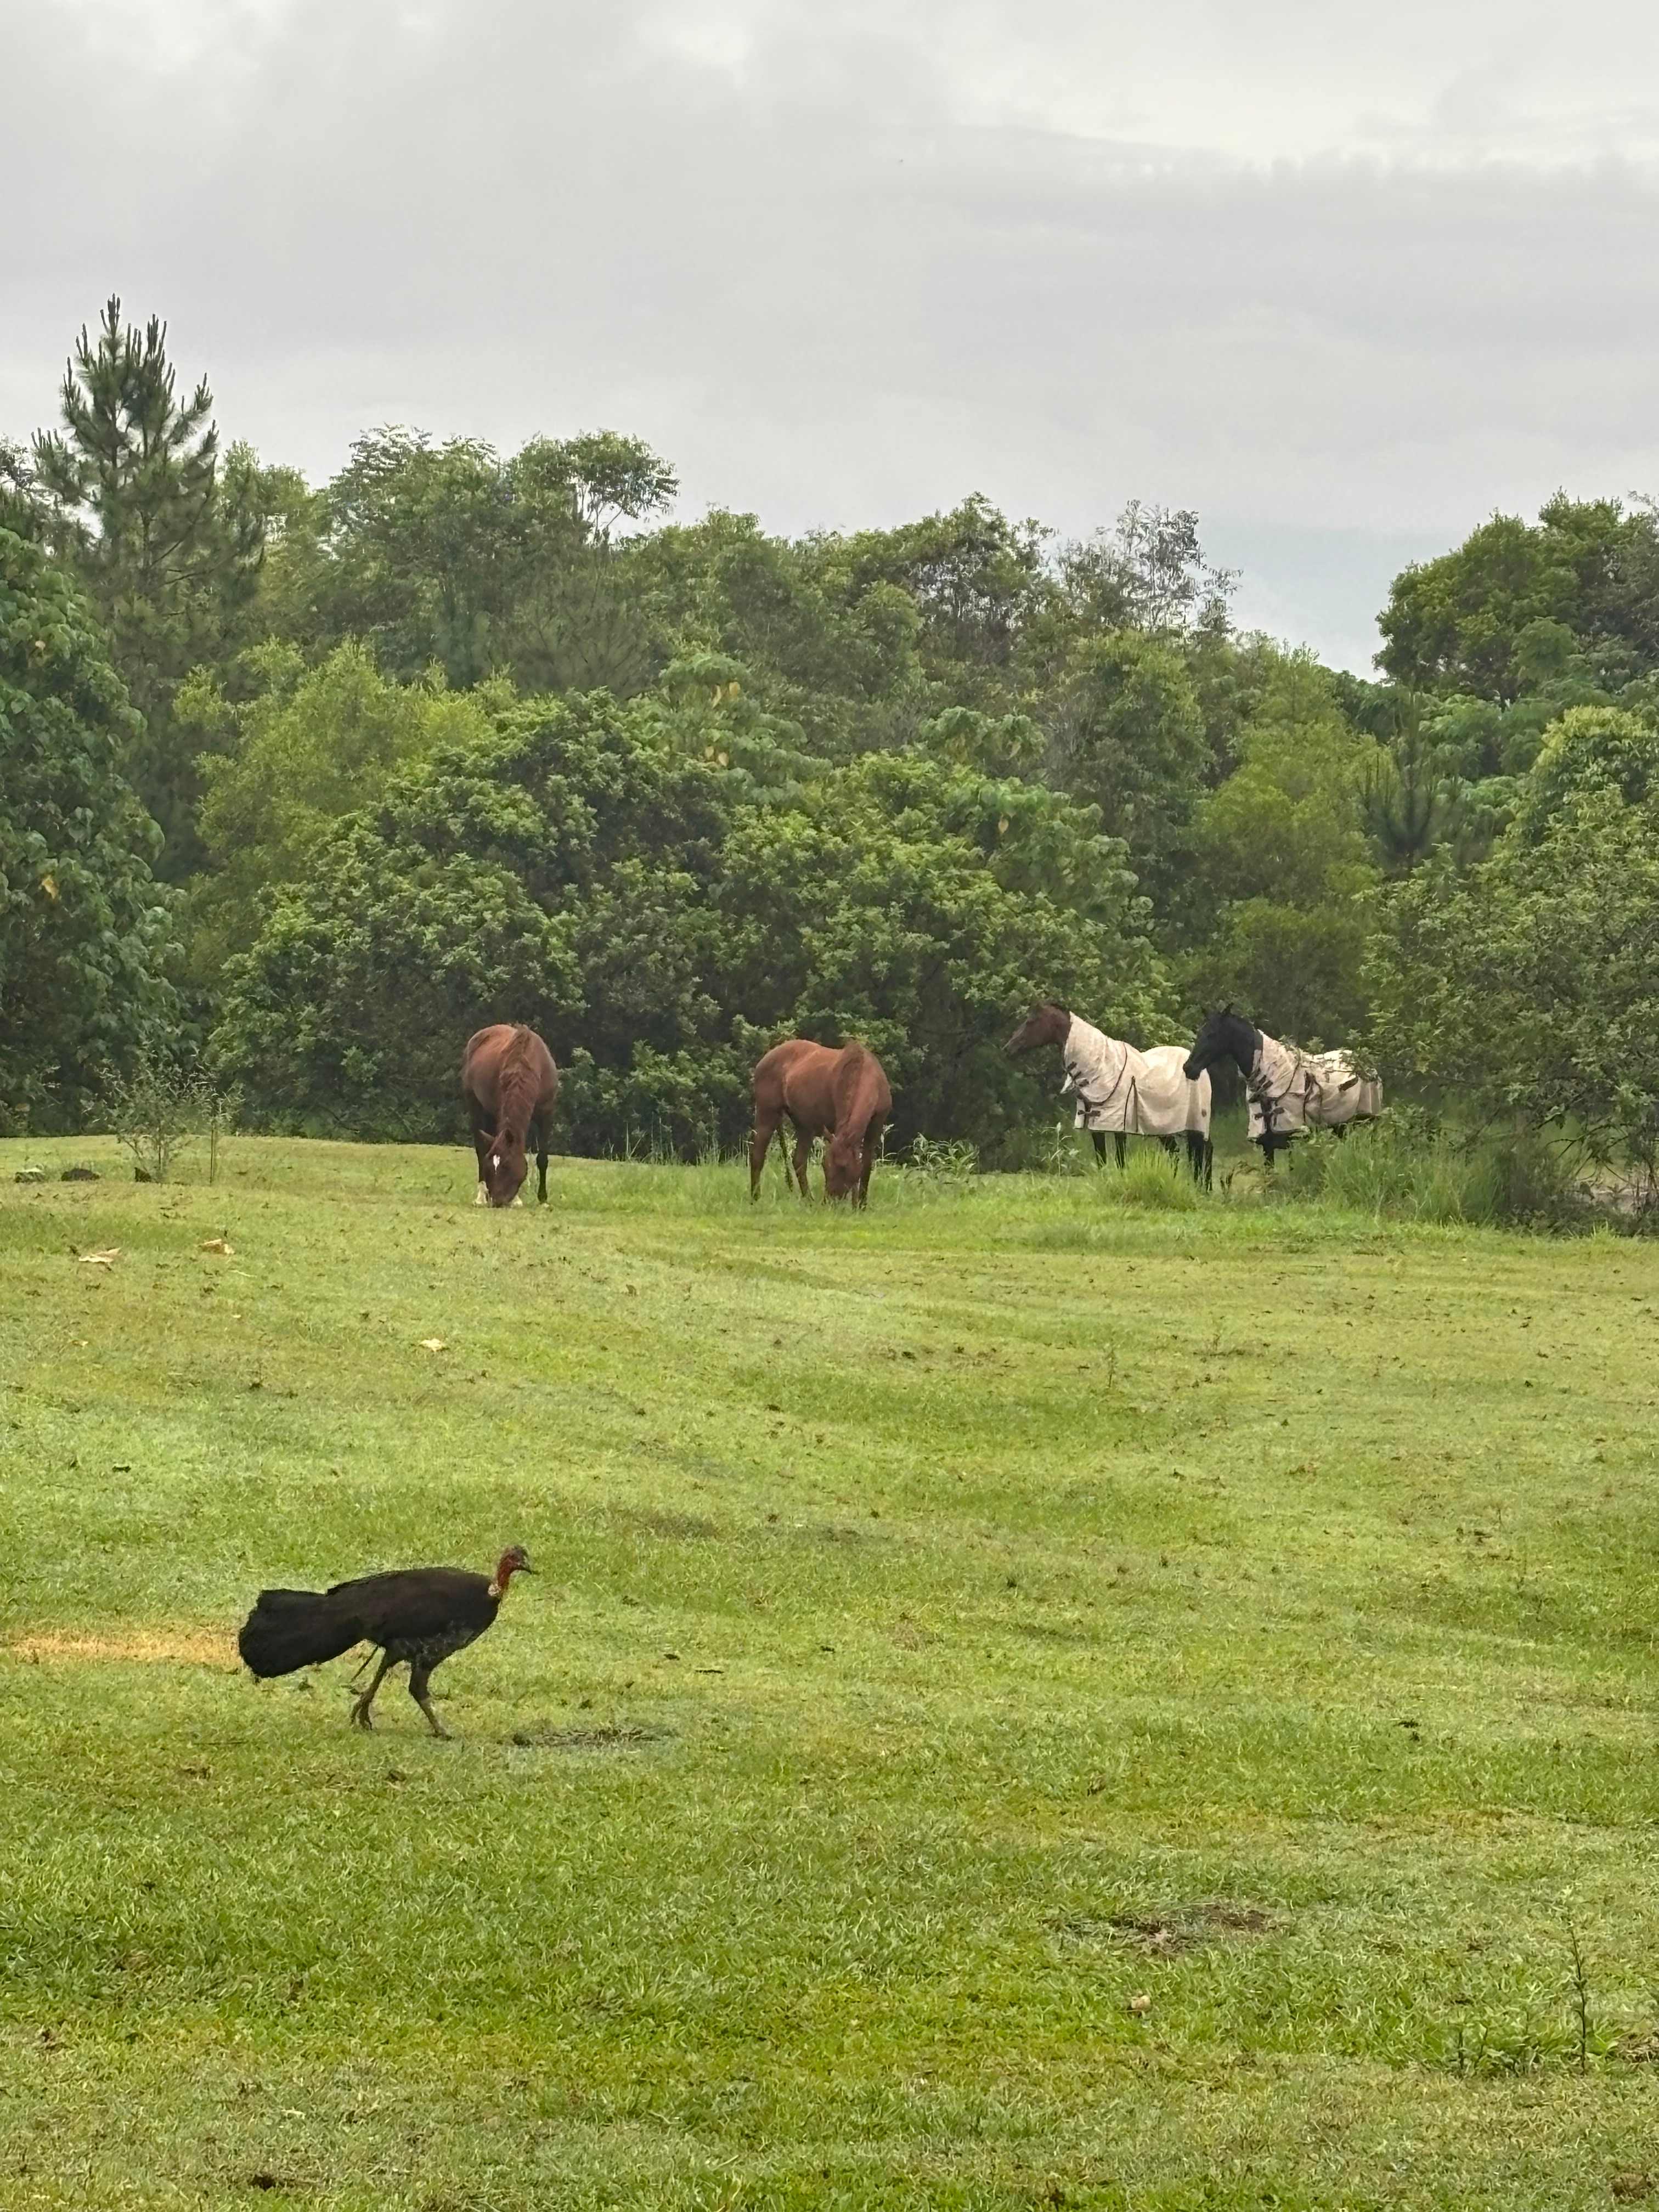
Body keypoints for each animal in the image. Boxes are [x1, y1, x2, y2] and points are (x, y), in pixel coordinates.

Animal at [461, 1025, 561, 1207]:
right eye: (491, 1166)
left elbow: (542, 1158)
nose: (496, 1201)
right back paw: (481, 1197)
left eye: (507, 1166)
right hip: (475, 1106)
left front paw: (543, 1200)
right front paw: (517, 1199)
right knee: (480, 1148)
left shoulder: (546, 1114)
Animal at [749, 1039, 892, 1206]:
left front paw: (860, 1205)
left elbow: (866, 1165)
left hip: (804, 1125)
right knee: (758, 1155)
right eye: (825, 1166)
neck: (864, 1075)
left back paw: (808, 1200)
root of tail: (764, 1060)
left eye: (844, 1168)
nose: (829, 1202)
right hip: (767, 1113)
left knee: (799, 1161)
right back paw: (755, 1198)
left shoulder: (875, 1126)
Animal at [1006, 1002, 1213, 1185]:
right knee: (1177, 1154)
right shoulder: (1095, 1126)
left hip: (1197, 1123)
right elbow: (1102, 1159)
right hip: (1165, 1128)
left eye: (1031, 1022)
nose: (1009, 1048)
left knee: (1205, 1150)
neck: (1101, 1067)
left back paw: (1203, 1189)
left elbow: (1120, 1160)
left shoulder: (1119, 1127)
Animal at [1183, 1007, 1380, 1166]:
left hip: (1368, 1124)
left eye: (1213, 1034)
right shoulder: (1268, 1145)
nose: (1188, 1068)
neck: (1271, 1077)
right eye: (1200, 1033)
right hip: (1342, 1128)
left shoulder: (1293, 1140)